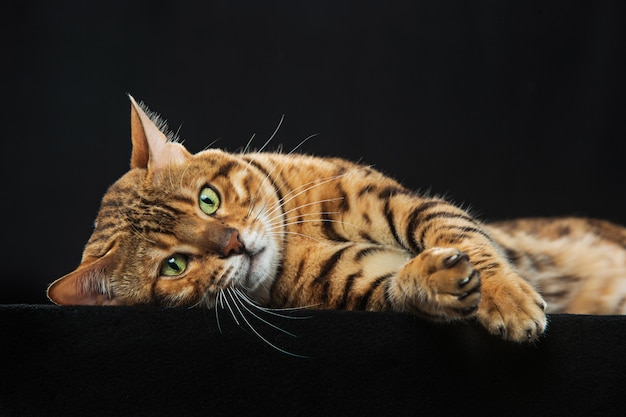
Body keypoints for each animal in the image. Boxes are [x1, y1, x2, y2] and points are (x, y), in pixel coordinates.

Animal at [46, 96, 624, 342]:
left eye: (208, 201)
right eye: (174, 266)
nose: (234, 243)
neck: (299, 236)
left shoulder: (396, 201)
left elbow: (462, 234)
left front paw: (506, 297)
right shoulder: (354, 283)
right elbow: (398, 287)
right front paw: (435, 282)